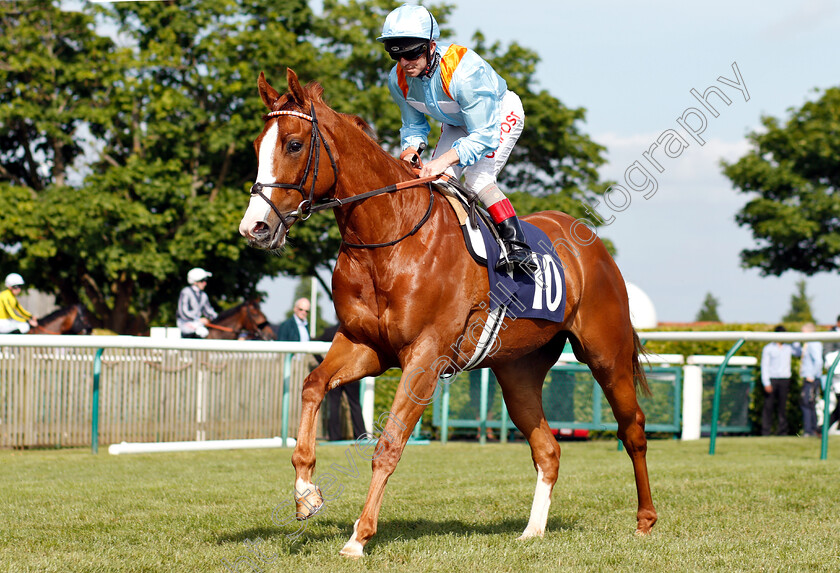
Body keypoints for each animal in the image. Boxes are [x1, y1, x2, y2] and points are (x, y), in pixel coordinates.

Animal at [236, 69, 656, 556]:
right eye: (256, 145)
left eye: (294, 144)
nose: (255, 227)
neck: (391, 235)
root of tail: (592, 244)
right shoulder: (366, 345)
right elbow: (312, 386)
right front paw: (307, 493)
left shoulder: (426, 355)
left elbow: (389, 444)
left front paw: (359, 536)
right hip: (518, 371)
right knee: (547, 449)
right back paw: (532, 529)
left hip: (606, 354)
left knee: (633, 430)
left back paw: (645, 519)